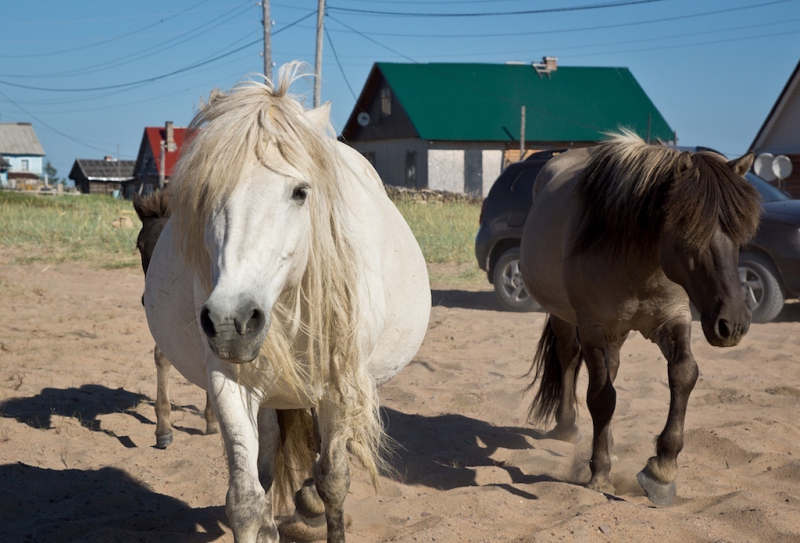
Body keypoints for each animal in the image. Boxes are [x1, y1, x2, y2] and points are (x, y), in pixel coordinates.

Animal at [144, 68, 432, 543]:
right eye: (205, 192)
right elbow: (245, 499)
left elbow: (334, 480)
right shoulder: (229, 380)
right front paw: (263, 520)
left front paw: (317, 503)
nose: (231, 321)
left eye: (300, 192)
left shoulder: (340, 385)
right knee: (266, 461)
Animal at [520, 132, 760, 506]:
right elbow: (601, 397)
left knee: (610, 370)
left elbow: (683, 374)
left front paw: (662, 469)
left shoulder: (673, 320)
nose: (732, 323)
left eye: (738, 235)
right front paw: (599, 472)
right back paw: (569, 426)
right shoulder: (594, 328)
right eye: (687, 228)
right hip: (565, 316)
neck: (638, 259)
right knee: (569, 358)